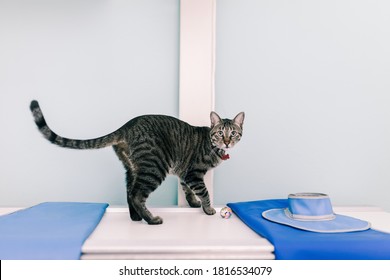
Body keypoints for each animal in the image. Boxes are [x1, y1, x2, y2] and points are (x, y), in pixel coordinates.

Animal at [29, 100, 244, 225]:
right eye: (220, 133)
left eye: (233, 133)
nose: (227, 141)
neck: (212, 145)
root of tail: (126, 126)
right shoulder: (194, 173)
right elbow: (204, 192)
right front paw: (207, 209)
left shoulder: (185, 173)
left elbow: (187, 189)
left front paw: (192, 203)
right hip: (154, 167)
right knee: (137, 195)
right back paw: (151, 219)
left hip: (133, 168)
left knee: (129, 193)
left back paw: (135, 217)